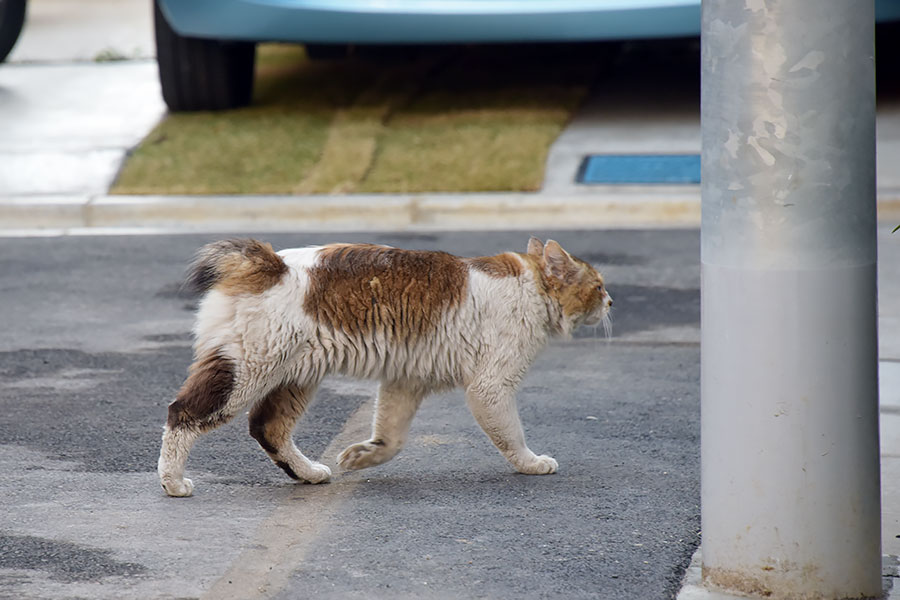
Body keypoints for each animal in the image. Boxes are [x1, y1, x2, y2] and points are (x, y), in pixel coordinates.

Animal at [160, 236, 612, 496]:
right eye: (599, 286)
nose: (611, 302)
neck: (529, 287)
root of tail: (270, 262)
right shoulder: (491, 387)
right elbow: (512, 437)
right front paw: (532, 463)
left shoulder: (405, 381)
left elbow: (391, 440)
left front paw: (361, 456)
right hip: (245, 371)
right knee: (182, 414)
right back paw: (172, 482)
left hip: (295, 375)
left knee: (267, 428)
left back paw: (308, 473)